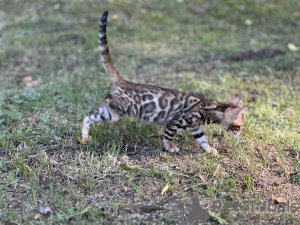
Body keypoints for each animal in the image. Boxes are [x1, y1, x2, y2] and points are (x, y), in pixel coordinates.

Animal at [81, 10, 246, 155]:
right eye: (239, 126)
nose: (241, 133)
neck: (211, 108)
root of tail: (123, 81)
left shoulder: (195, 128)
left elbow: (203, 140)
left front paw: (209, 149)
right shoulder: (174, 122)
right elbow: (168, 136)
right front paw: (170, 147)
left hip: (108, 112)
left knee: (89, 115)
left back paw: (85, 137)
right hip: (124, 106)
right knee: (107, 98)